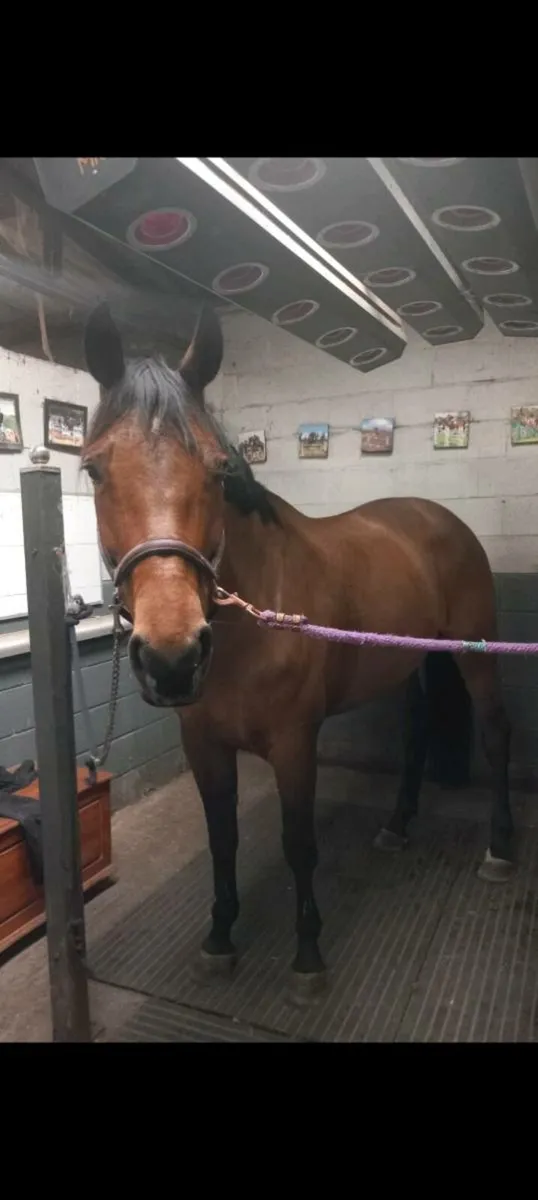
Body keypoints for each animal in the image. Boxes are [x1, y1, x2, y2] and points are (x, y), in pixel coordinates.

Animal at [82, 301, 514, 1005]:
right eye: (94, 468)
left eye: (219, 469)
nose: (172, 657)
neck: (252, 624)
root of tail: (441, 518)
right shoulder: (204, 746)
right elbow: (222, 839)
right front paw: (219, 938)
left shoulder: (294, 744)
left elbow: (298, 842)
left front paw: (308, 955)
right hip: (412, 660)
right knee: (418, 731)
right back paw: (397, 825)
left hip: (474, 655)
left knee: (496, 733)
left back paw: (501, 848)